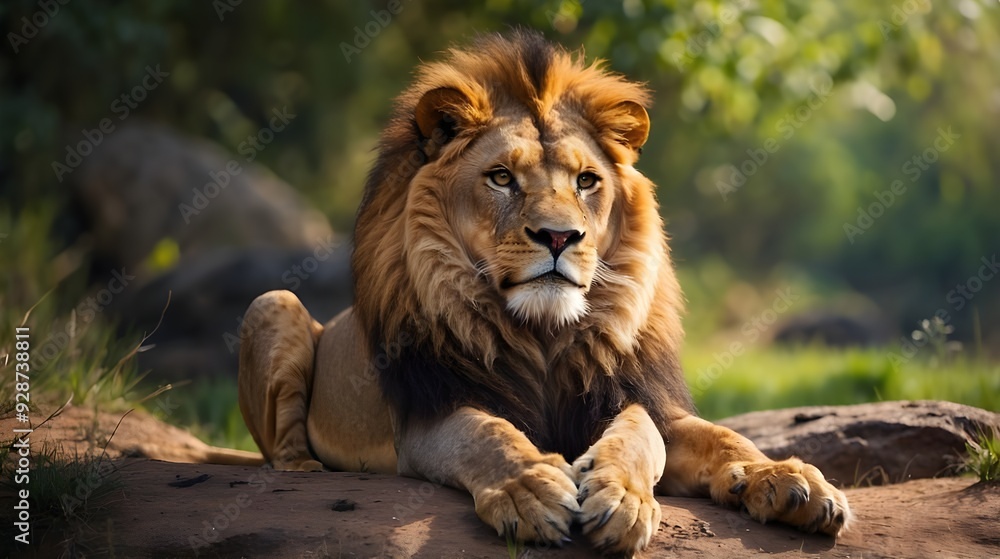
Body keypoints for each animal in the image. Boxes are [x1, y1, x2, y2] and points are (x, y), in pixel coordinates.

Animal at [238, 29, 851, 556]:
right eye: (501, 177)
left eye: (586, 181)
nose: (559, 236)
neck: (544, 333)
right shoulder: (429, 411)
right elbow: (488, 434)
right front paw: (530, 490)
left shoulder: (631, 394)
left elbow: (686, 435)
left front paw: (778, 479)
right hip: (272, 303)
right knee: (280, 451)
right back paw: (307, 472)